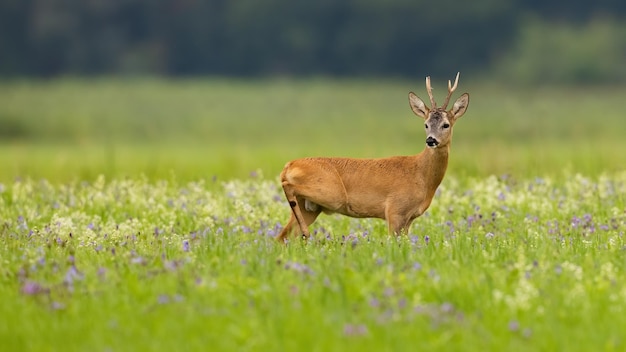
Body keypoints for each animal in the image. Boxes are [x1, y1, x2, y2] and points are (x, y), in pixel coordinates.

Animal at [276, 71, 466, 242]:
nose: (431, 140)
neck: (422, 175)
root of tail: (288, 166)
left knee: (281, 237)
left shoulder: (409, 218)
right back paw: (306, 233)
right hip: (332, 192)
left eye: (446, 124)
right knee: (288, 188)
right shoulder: (394, 210)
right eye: (426, 124)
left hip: (310, 207)